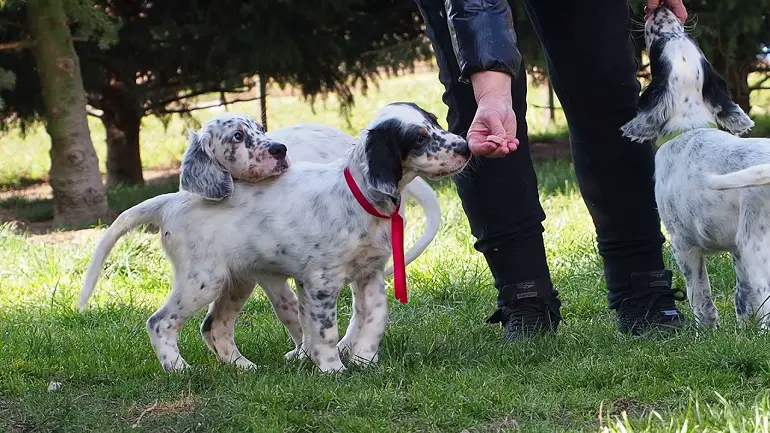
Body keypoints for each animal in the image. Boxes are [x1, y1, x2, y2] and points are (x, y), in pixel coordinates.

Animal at [81, 100, 472, 372]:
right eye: (419, 137)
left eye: (435, 121)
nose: (466, 146)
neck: (358, 196)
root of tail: (172, 200)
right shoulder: (321, 282)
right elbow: (324, 330)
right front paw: (333, 369)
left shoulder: (370, 275)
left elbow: (373, 319)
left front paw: (364, 361)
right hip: (203, 278)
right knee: (160, 322)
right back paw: (178, 369)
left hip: (236, 281)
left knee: (215, 326)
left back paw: (242, 368)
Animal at [620, 4, 764, 328]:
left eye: (657, 47)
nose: (660, 7)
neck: (689, 127)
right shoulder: (736, 248)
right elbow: (744, 298)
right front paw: (742, 333)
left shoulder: (683, 243)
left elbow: (700, 294)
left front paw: (707, 330)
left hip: (757, 246)